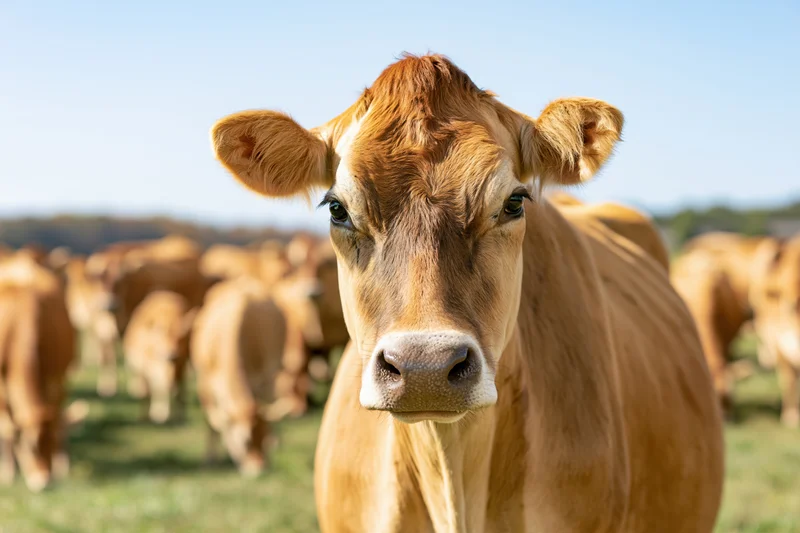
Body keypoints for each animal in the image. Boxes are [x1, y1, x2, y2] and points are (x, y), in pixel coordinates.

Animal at [0, 252, 77, 491]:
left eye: (52, 443)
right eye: (28, 447)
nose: (44, 482)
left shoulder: (54, 375)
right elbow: (7, 427)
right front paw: (7, 474)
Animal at [122, 290, 195, 423]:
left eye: (180, 338)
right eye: (162, 336)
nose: (172, 355)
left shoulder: (179, 364)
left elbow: (172, 388)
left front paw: (171, 415)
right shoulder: (145, 365)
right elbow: (155, 388)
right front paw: (156, 415)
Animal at [191, 277, 286, 477]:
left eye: (264, 438)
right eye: (245, 441)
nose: (260, 470)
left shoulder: (262, 378)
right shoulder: (204, 382)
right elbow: (212, 423)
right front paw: (209, 459)